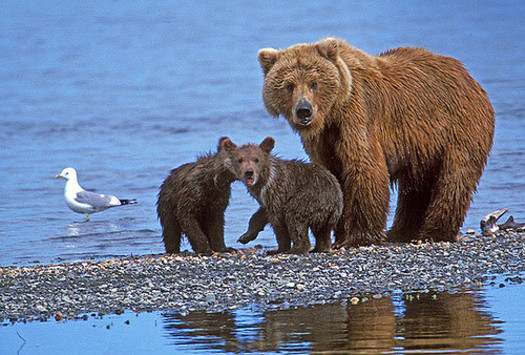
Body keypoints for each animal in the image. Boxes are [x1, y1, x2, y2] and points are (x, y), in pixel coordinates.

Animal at [258, 36, 496, 248]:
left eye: (314, 83)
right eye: (289, 85)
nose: (304, 110)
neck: (331, 114)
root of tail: (468, 76)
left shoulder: (357, 115)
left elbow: (364, 167)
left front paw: (358, 237)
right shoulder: (322, 139)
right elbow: (331, 174)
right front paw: (339, 233)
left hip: (460, 126)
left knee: (455, 177)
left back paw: (434, 232)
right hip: (422, 146)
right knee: (416, 187)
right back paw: (401, 231)